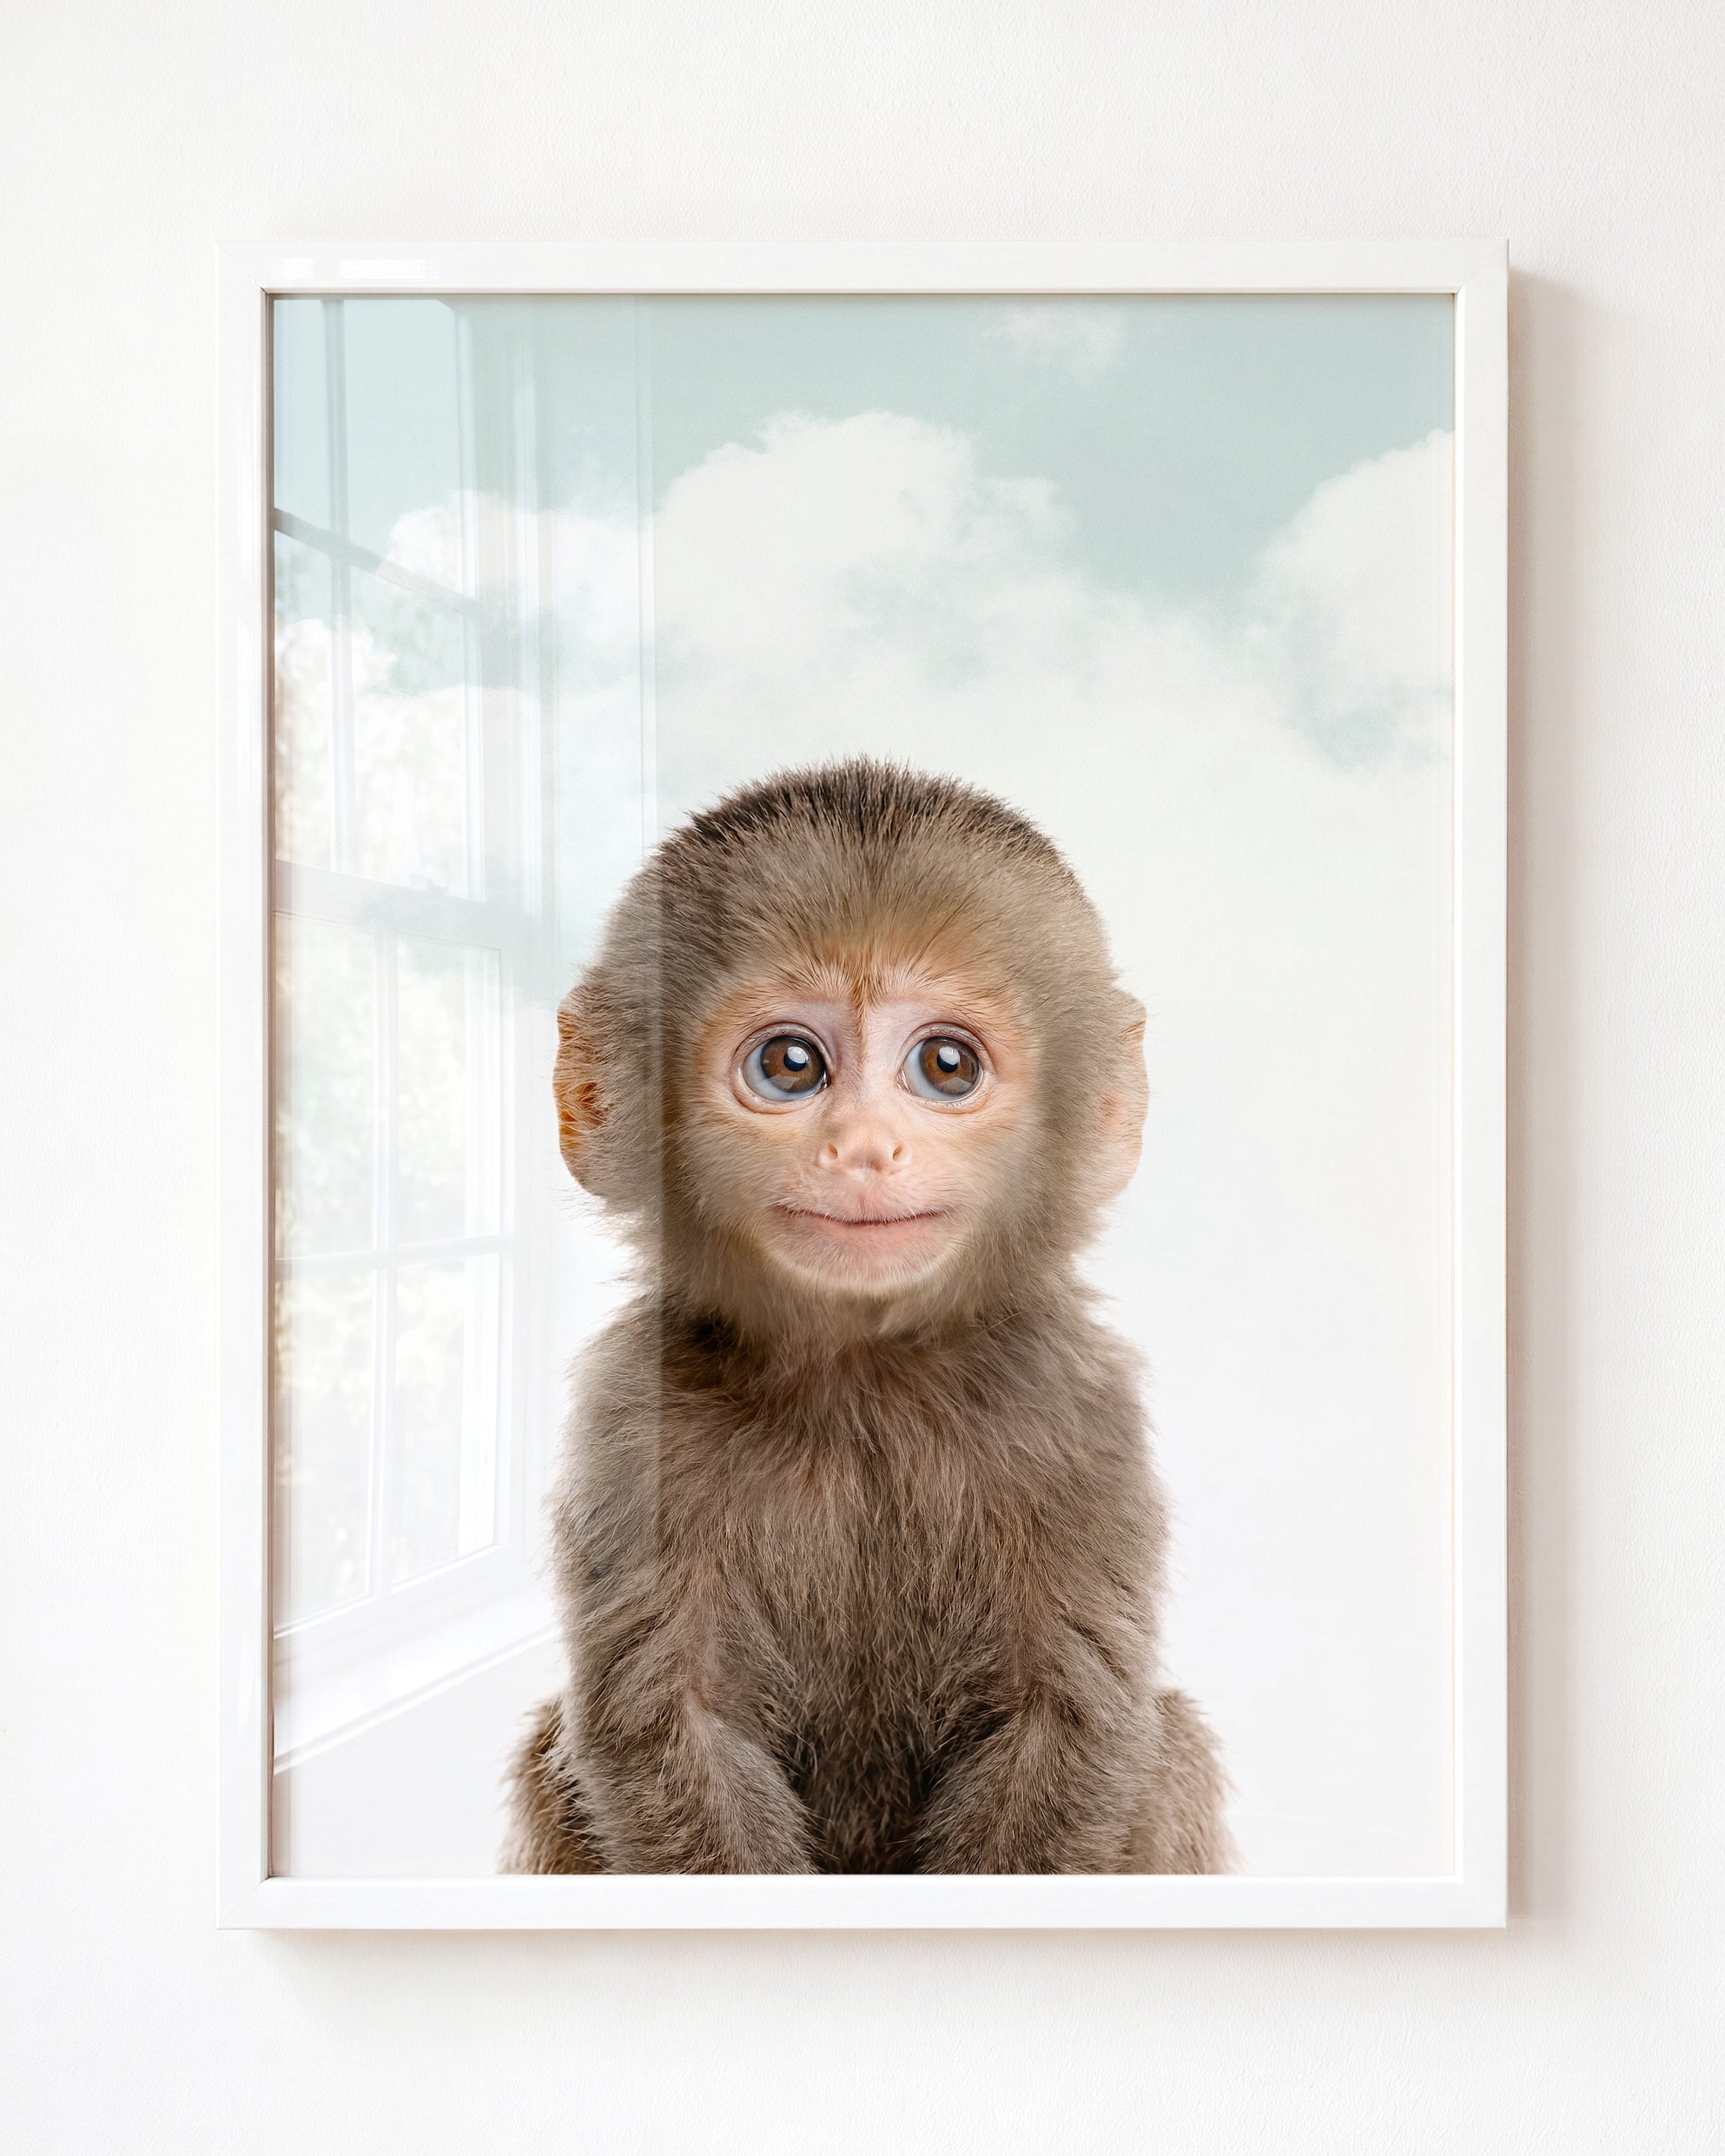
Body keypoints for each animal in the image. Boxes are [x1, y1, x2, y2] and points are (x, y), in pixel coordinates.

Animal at [501, 759, 1231, 1875]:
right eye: (791, 1065)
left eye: (945, 1066)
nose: (863, 1147)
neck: (863, 1378)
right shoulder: (633, 1417)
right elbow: (672, 1727)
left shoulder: (1079, 1411)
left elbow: (1065, 1723)